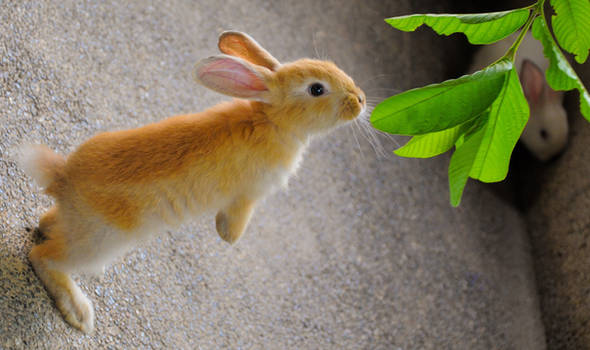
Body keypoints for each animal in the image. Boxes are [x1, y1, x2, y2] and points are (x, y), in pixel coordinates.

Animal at [16, 30, 368, 334]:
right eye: (317, 89)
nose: (361, 100)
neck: (272, 120)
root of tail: (62, 179)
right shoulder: (249, 195)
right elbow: (236, 218)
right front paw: (230, 237)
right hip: (100, 243)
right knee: (44, 257)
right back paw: (80, 312)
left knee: (49, 226)